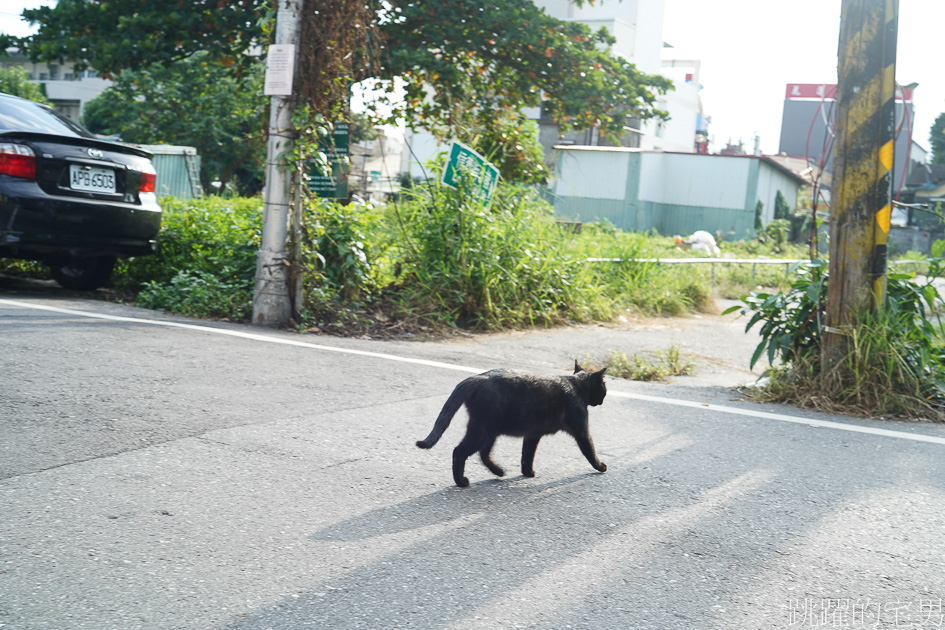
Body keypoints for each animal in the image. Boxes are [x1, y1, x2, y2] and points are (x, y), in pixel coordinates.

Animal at [416, 360, 608, 488]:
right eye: (604, 386)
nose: (603, 399)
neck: (576, 385)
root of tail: (476, 378)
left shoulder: (532, 434)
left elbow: (527, 455)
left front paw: (528, 473)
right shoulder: (582, 431)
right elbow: (590, 451)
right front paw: (600, 467)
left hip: (489, 430)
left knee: (483, 454)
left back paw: (499, 471)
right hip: (483, 429)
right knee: (459, 451)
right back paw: (462, 482)